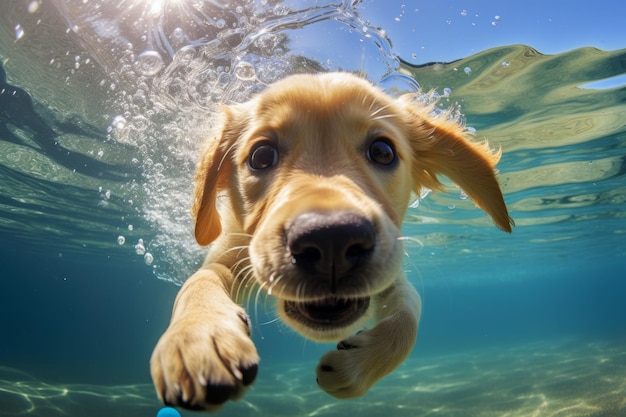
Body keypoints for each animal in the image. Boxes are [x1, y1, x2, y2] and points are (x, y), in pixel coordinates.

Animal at [150, 71, 512, 410]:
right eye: (261, 156)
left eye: (383, 151)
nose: (331, 242)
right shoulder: (230, 252)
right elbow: (200, 280)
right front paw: (198, 336)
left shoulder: (389, 270)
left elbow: (409, 313)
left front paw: (355, 367)